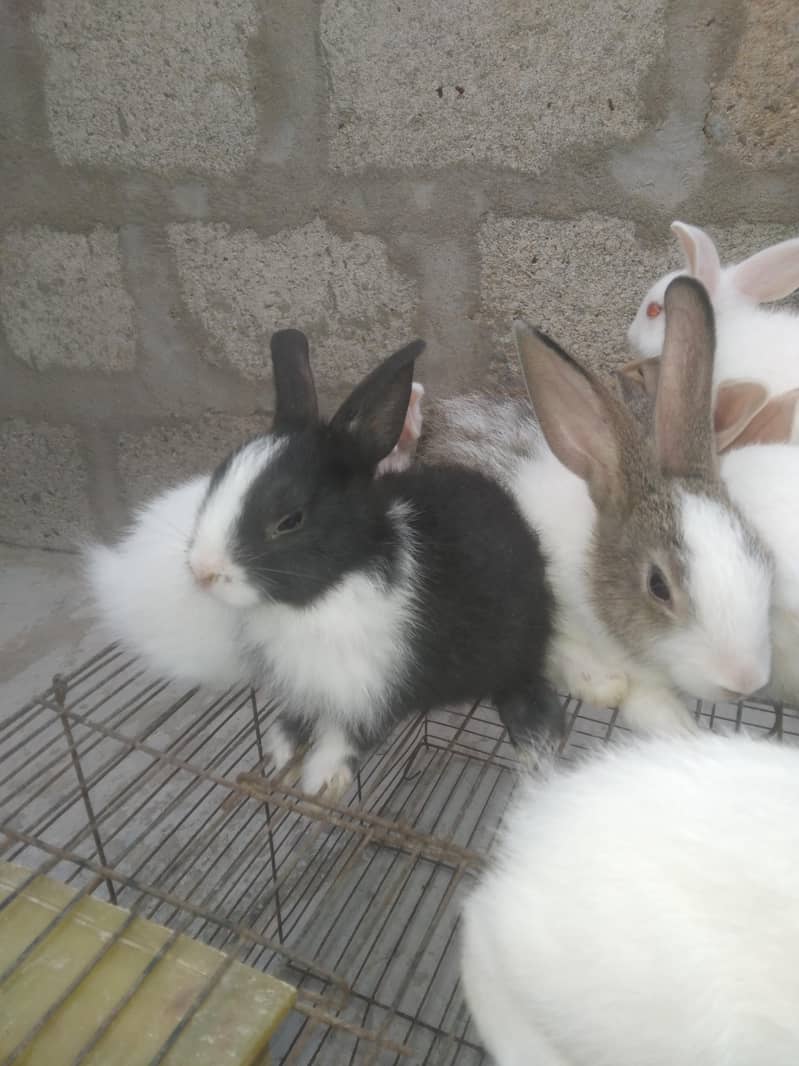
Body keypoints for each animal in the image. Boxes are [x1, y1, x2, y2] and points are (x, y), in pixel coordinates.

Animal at [179, 328, 562, 797]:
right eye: (217, 478)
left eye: (290, 520)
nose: (202, 571)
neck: (325, 593)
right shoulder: (304, 684)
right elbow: (297, 717)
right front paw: (282, 750)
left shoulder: (372, 689)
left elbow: (347, 734)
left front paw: (323, 779)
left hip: (517, 647)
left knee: (527, 694)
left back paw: (536, 748)